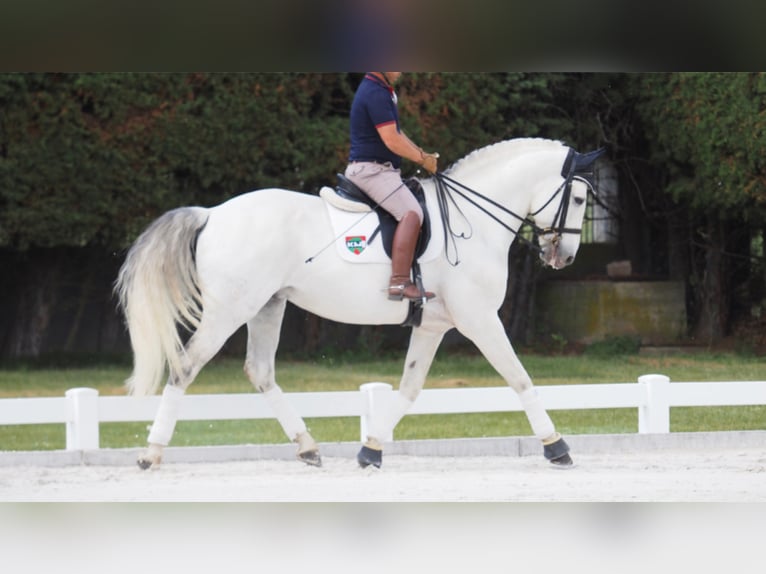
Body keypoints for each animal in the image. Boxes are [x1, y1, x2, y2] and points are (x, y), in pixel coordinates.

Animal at [115, 137, 608, 470]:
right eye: (579, 197)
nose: (564, 257)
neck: (473, 221)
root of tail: (213, 213)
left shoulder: (434, 326)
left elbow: (409, 390)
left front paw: (371, 450)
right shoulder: (480, 320)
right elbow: (520, 379)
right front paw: (557, 446)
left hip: (267, 306)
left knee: (260, 372)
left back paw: (308, 446)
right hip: (229, 311)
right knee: (186, 367)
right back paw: (151, 452)